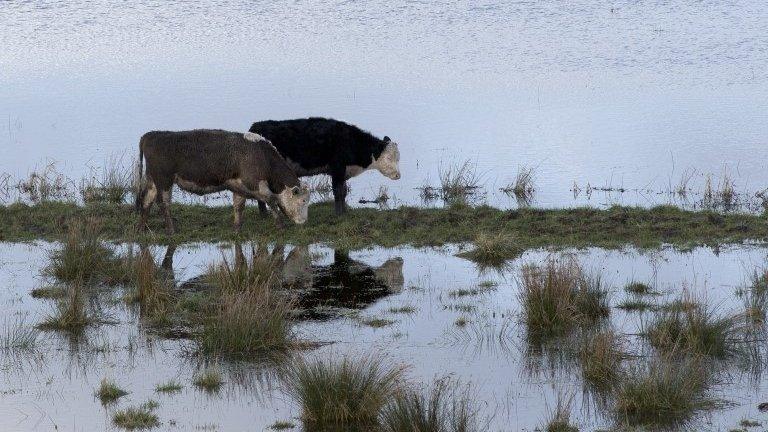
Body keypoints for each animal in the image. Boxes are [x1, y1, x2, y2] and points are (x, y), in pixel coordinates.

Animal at [136, 130, 310, 235]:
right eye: (303, 201)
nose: (304, 222)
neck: (261, 156)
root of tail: (152, 135)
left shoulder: (239, 187)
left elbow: (239, 206)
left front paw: (237, 228)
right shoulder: (255, 184)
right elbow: (272, 200)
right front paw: (281, 226)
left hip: (153, 180)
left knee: (146, 200)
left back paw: (142, 228)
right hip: (164, 181)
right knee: (163, 202)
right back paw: (171, 230)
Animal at [249, 118, 402, 214]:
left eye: (398, 158)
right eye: (388, 157)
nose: (398, 175)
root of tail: (255, 127)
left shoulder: (343, 172)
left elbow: (344, 191)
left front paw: (345, 212)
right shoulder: (337, 169)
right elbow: (338, 191)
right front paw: (339, 214)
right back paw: (264, 215)